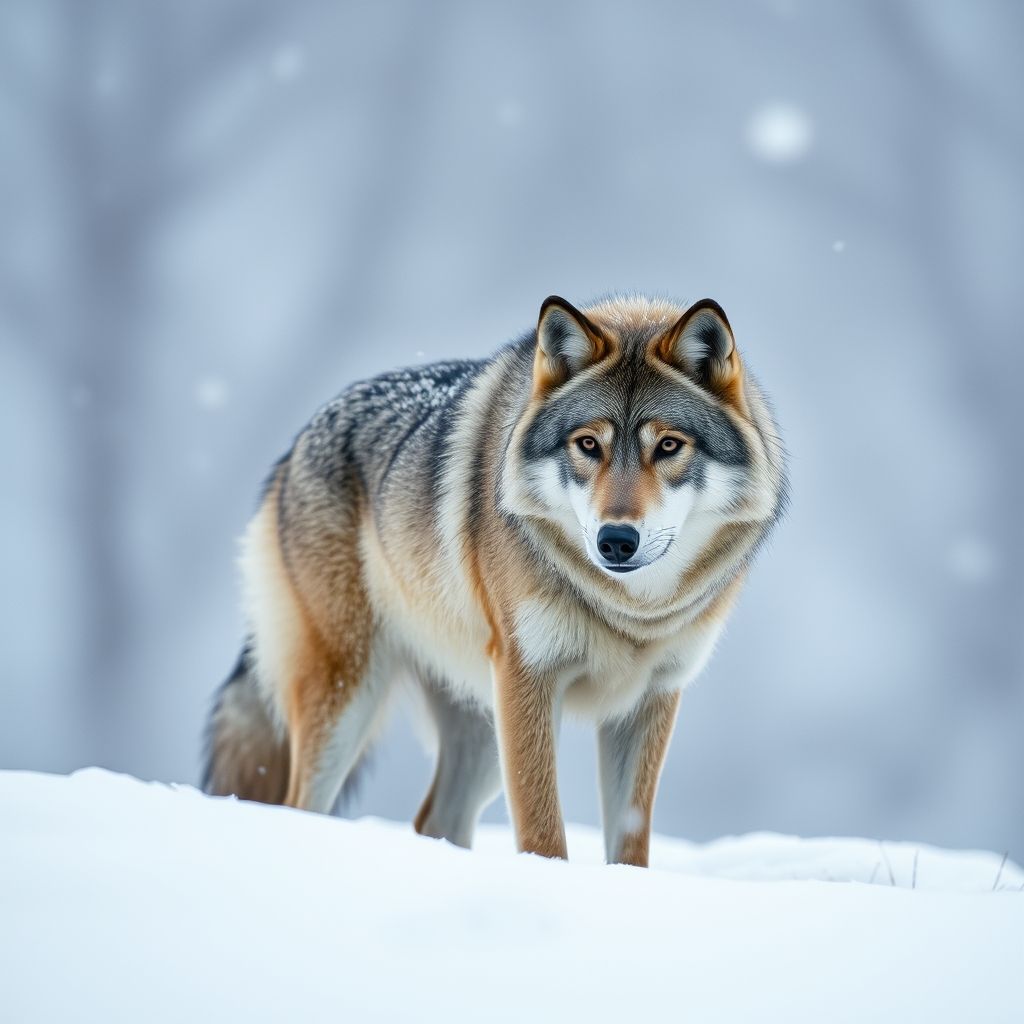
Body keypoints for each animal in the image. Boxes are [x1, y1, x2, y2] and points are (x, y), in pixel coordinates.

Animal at [202, 294, 787, 865]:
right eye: (588, 445)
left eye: (668, 446)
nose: (616, 540)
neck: (630, 611)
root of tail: (296, 445)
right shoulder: (529, 677)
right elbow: (543, 834)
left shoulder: (652, 697)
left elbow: (629, 842)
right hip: (351, 699)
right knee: (300, 804)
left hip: (480, 727)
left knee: (435, 820)